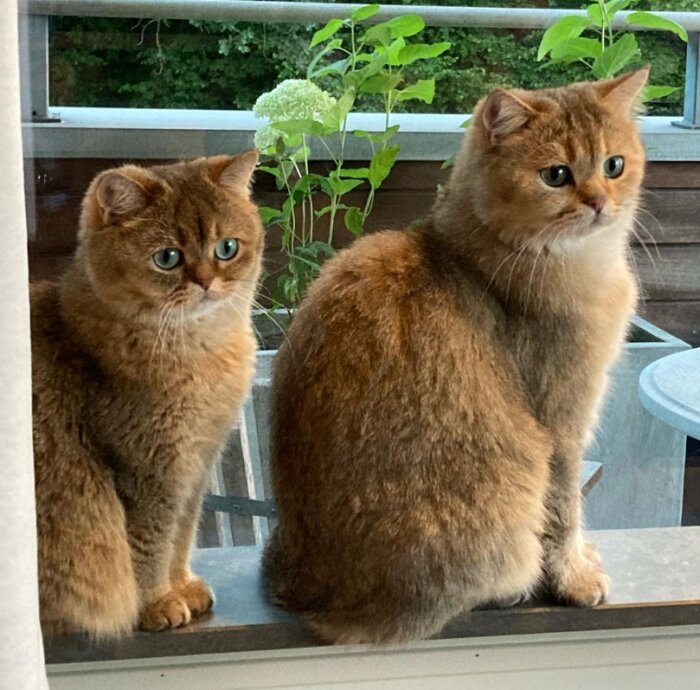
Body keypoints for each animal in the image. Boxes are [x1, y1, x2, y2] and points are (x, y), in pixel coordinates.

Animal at [30, 150, 262, 636]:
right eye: (167, 258)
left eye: (227, 248)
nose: (205, 282)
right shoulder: (145, 470)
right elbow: (147, 545)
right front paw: (155, 604)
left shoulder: (195, 468)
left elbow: (182, 534)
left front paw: (183, 586)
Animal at [264, 67, 652, 644]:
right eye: (556, 175)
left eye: (614, 165)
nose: (599, 203)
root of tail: (307, 591)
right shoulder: (561, 425)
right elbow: (564, 512)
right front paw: (574, 577)